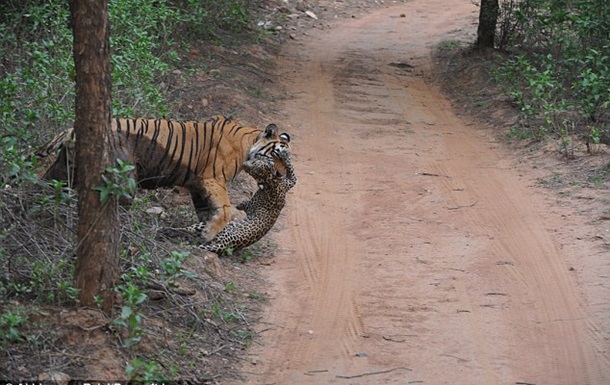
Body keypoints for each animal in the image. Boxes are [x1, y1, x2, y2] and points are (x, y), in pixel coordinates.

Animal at [37, 115, 290, 240]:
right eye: (276, 155)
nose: (280, 174)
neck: (248, 144)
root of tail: (70, 130)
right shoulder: (213, 179)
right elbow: (226, 209)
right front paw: (209, 234)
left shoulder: (198, 186)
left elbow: (206, 212)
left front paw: (201, 232)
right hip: (124, 177)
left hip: (64, 170)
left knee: (47, 183)